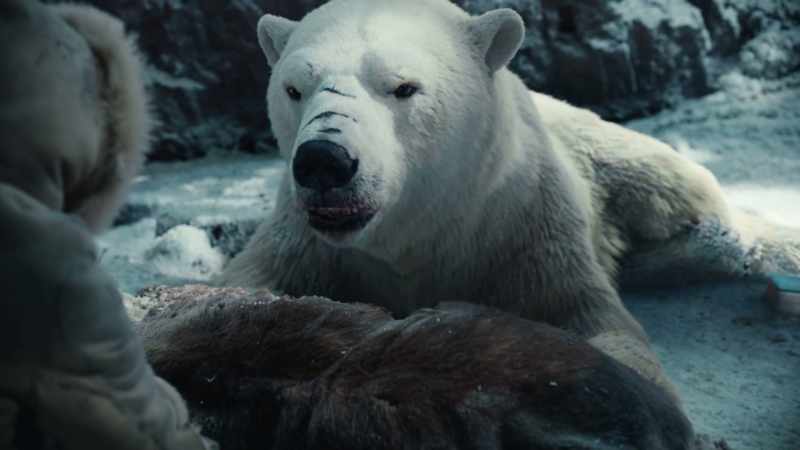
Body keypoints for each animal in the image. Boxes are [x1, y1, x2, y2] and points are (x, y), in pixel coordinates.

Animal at [219, 0, 734, 399]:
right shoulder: (306, 247)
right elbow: (245, 290)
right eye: (293, 89)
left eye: (403, 87)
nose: (324, 160)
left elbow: (593, 319)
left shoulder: (526, 235)